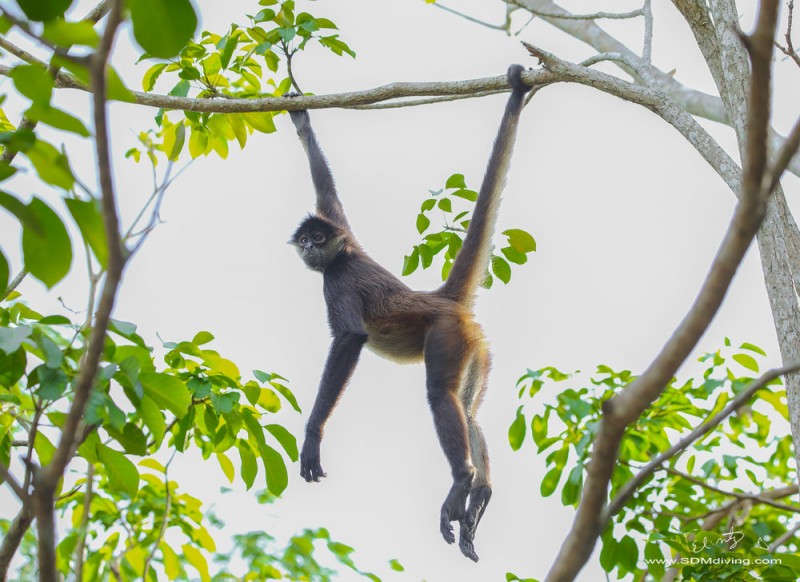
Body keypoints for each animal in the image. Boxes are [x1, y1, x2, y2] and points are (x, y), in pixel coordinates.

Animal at [286, 65, 534, 562]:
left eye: (317, 240)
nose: (309, 248)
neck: (344, 255)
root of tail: (442, 299)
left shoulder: (337, 278)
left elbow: (350, 339)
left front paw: (313, 437)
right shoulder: (345, 232)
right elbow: (327, 192)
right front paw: (302, 120)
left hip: (446, 334)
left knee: (442, 395)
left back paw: (463, 480)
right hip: (476, 348)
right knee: (469, 411)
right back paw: (480, 494)